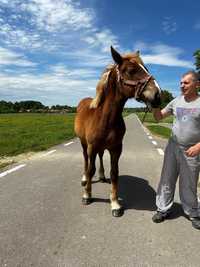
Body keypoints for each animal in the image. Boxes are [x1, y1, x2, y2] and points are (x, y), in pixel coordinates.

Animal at [74, 46, 162, 218]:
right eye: (130, 70)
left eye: (146, 68)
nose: (157, 95)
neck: (105, 118)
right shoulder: (92, 147)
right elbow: (90, 169)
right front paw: (87, 195)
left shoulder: (116, 148)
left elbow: (114, 172)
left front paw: (115, 203)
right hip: (84, 144)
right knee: (86, 160)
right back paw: (84, 178)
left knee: (100, 158)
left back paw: (102, 176)